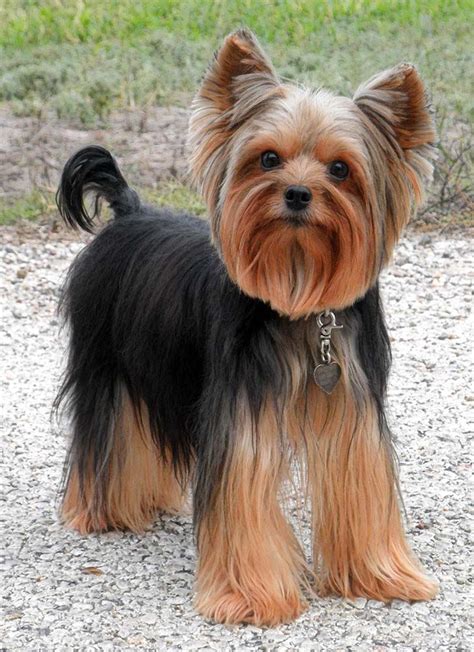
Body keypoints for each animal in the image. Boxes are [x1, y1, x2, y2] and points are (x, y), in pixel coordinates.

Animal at [54, 28, 436, 624]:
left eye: (341, 169)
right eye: (268, 158)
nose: (298, 193)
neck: (301, 298)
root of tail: (130, 209)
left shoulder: (354, 408)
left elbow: (361, 476)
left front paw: (381, 577)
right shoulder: (240, 416)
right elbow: (241, 497)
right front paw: (251, 596)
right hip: (104, 358)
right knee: (106, 426)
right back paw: (103, 511)